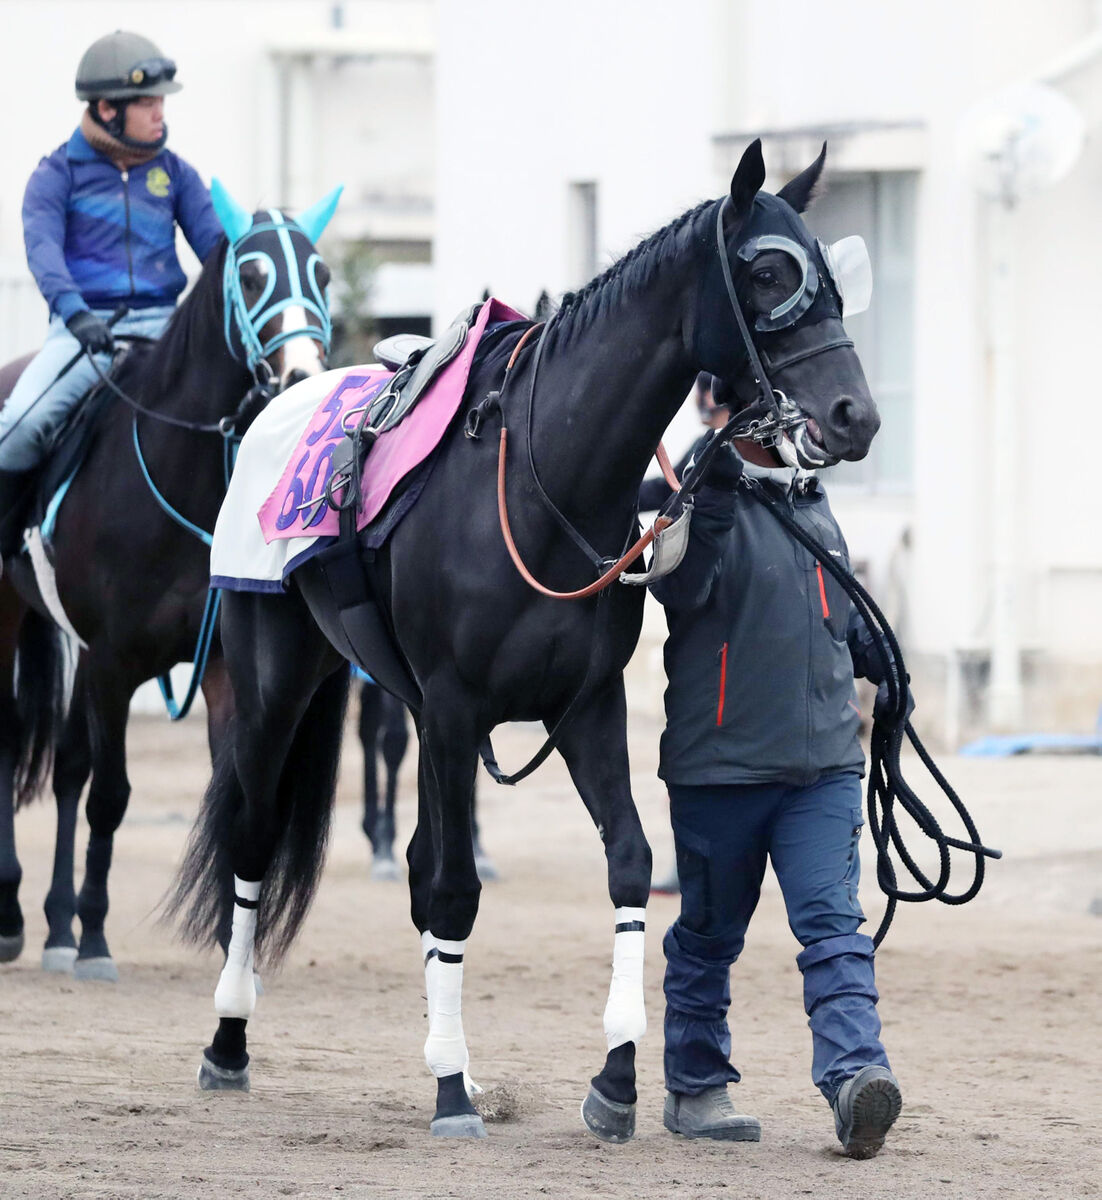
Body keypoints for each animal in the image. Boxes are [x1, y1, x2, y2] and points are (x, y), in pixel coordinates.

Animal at [0, 182, 340, 979]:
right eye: (252, 274)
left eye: (323, 274)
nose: (303, 374)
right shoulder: (113, 663)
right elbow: (111, 797)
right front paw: (95, 936)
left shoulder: (218, 668)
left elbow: (236, 793)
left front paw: (229, 941)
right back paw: (20, 918)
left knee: (67, 766)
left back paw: (53, 925)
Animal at [172, 142, 878, 1142]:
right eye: (770, 274)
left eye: (832, 277)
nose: (857, 415)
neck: (546, 487)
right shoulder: (454, 708)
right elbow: (454, 889)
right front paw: (451, 1092)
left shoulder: (585, 706)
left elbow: (628, 862)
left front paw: (616, 1077)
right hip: (276, 681)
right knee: (256, 836)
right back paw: (230, 1042)